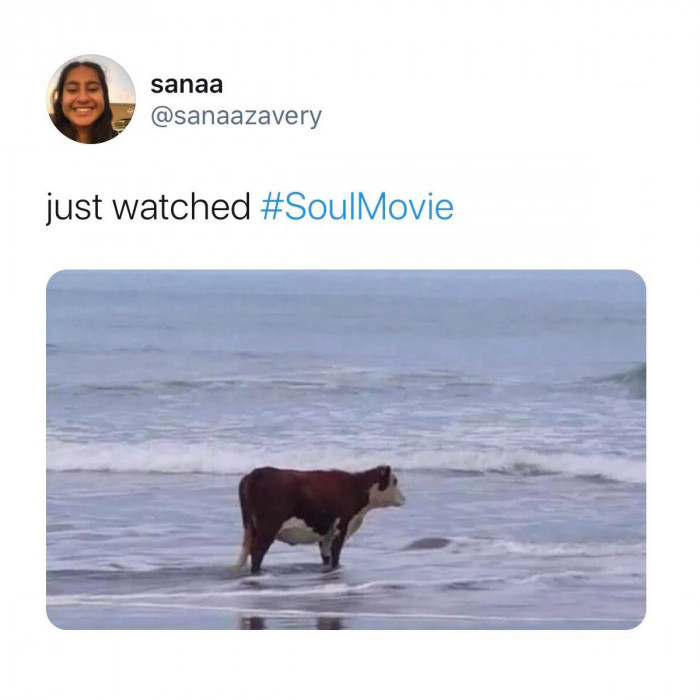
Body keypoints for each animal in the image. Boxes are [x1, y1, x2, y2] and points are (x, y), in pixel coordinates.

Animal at [233, 465, 405, 574]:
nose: (404, 498)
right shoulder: (341, 527)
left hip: (250, 527)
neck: (355, 487)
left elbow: (326, 555)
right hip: (268, 527)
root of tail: (255, 473)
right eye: (394, 481)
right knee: (257, 552)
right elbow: (335, 554)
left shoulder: (326, 532)